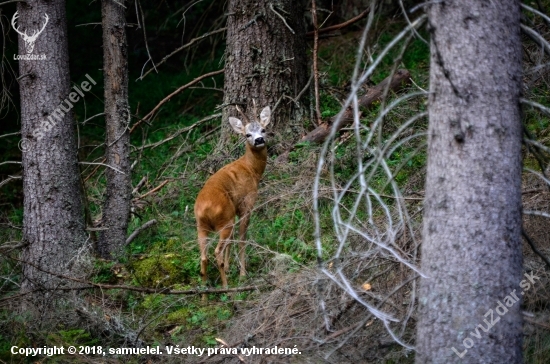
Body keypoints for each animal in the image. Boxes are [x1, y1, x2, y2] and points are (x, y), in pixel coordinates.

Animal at [195, 104, 272, 288]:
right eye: (247, 134)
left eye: (263, 129)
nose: (259, 140)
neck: (252, 169)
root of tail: (205, 208)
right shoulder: (246, 204)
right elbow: (242, 238)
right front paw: (242, 273)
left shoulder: (235, 209)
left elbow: (233, 240)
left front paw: (230, 267)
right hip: (224, 220)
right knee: (216, 251)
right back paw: (226, 286)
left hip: (202, 225)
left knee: (204, 256)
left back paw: (204, 288)